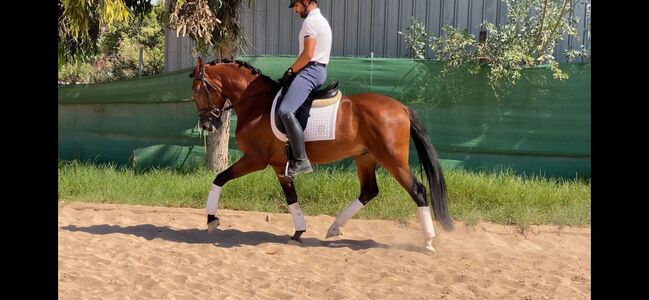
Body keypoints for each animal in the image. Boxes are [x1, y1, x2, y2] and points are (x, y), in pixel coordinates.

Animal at [189, 56, 450, 253]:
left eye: (197, 91)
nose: (207, 124)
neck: (256, 105)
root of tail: (400, 107)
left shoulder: (256, 159)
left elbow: (219, 178)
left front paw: (211, 220)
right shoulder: (279, 165)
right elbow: (291, 198)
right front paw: (298, 232)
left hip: (392, 160)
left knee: (417, 190)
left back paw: (428, 241)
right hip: (365, 157)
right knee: (369, 191)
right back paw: (334, 228)